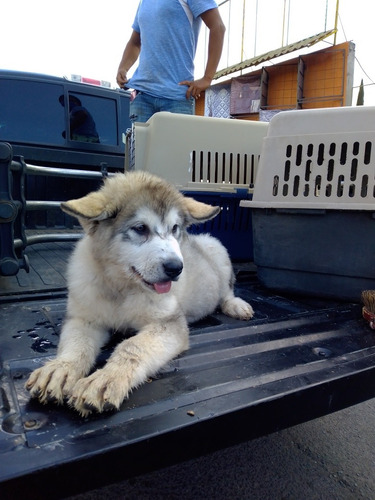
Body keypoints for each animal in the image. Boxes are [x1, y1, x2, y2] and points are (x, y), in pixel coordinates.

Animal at [25, 174, 256, 416]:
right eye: (140, 228)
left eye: (175, 228)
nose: (176, 268)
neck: (122, 287)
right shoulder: (84, 318)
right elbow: (77, 344)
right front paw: (61, 369)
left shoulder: (169, 324)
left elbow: (132, 346)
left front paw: (106, 379)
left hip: (216, 249)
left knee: (226, 289)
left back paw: (236, 305)